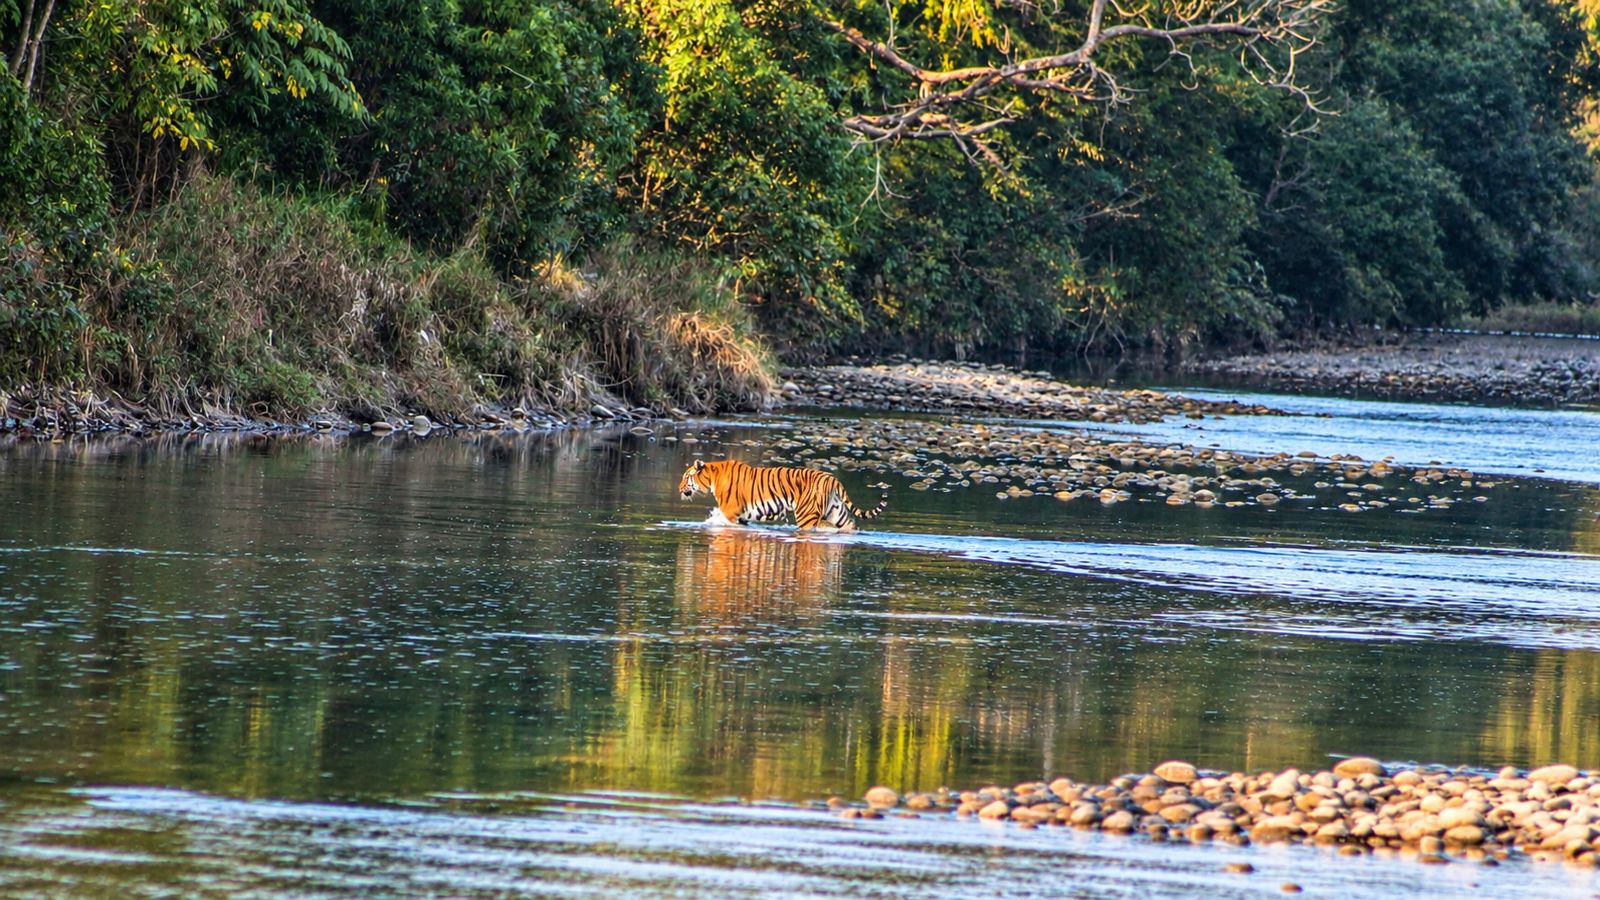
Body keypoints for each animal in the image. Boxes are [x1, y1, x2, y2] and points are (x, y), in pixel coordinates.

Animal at [678, 459, 888, 532]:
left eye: (686, 477)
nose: (679, 489)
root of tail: (832, 478)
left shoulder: (731, 513)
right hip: (837, 512)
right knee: (849, 526)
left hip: (807, 515)